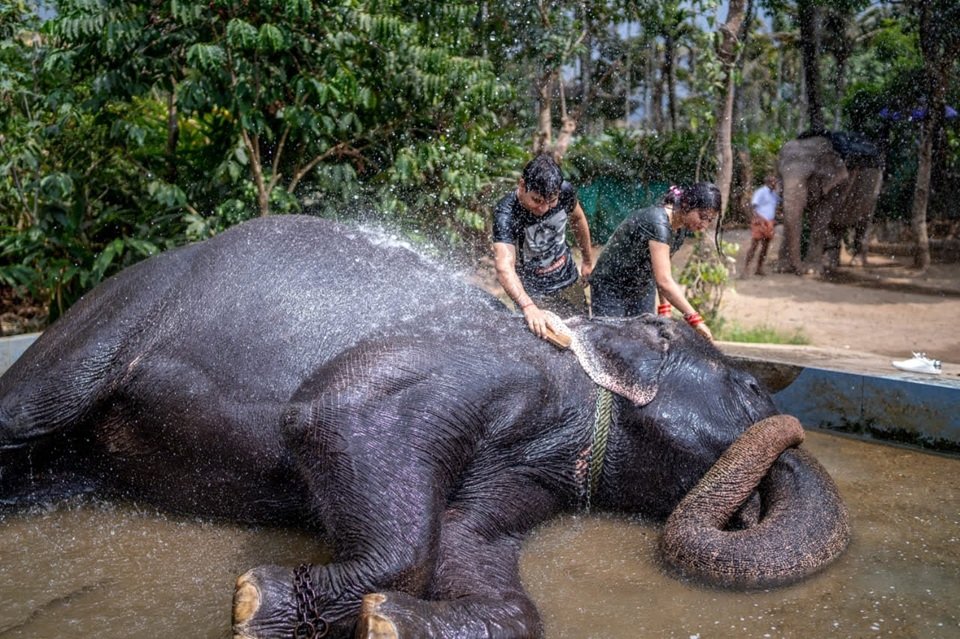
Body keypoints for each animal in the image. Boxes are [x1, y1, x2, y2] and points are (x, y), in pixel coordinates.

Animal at [0, 215, 849, 639]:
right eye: (748, 386)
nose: (792, 428)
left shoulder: (527, 476)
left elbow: (472, 548)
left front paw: (388, 621)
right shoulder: (480, 365)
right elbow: (337, 408)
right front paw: (256, 603)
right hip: (109, 317)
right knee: (27, 408)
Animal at [776, 131, 884, 275]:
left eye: (810, 177)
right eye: (780, 175)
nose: (797, 270)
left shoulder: (837, 184)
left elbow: (820, 216)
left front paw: (811, 271)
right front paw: (781, 268)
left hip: (874, 190)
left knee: (863, 222)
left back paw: (856, 263)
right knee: (838, 224)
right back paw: (830, 264)